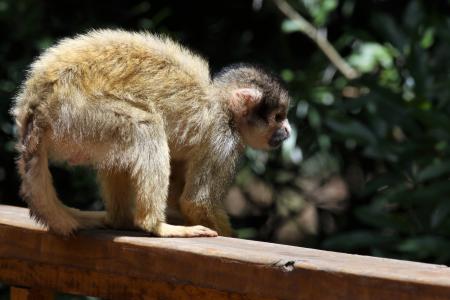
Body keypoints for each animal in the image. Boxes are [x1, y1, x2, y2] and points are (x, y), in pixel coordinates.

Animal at [12, 29, 292, 237]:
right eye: (278, 117)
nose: (288, 130)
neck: (223, 106)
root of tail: (34, 104)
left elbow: (180, 196)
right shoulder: (224, 139)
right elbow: (195, 201)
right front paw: (228, 235)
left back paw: (120, 220)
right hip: (74, 114)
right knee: (145, 127)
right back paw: (155, 225)